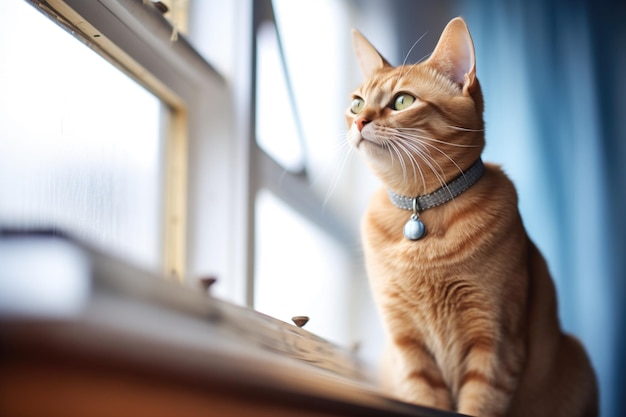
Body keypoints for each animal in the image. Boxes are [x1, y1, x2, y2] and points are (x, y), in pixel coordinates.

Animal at [346, 17, 596, 416]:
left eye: (402, 101)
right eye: (356, 104)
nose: (359, 122)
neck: (420, 209)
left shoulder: (495, 341)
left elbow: (478, 404)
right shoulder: (408, 345)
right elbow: (423, 398)